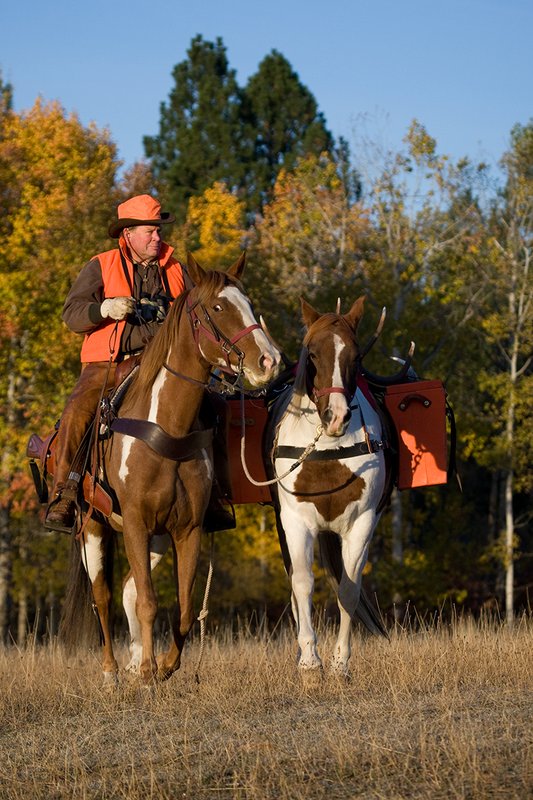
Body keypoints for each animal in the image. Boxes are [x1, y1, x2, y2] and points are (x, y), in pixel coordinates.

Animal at [60, 253, 281, 685]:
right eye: (218, 308)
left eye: (248, 303)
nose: (270, 361)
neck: (167, 426)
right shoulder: (134, 523)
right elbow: (148, 601)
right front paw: (148, 670)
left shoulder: (186, 529)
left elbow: (182, 607)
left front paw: (162, 665)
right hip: (94, 528)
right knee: (104, 596)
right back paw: (113, 672)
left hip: (157, 540)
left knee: (127, 589)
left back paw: (131, 663)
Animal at [265, 295, 388, 678]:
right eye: (313, 354)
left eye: (356, 357)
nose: (335, 417)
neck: (329, 448)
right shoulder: (295, 521)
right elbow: (303, 583)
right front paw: (309, 662)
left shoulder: (362, 521)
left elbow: (348, 590)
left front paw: (339, 663)